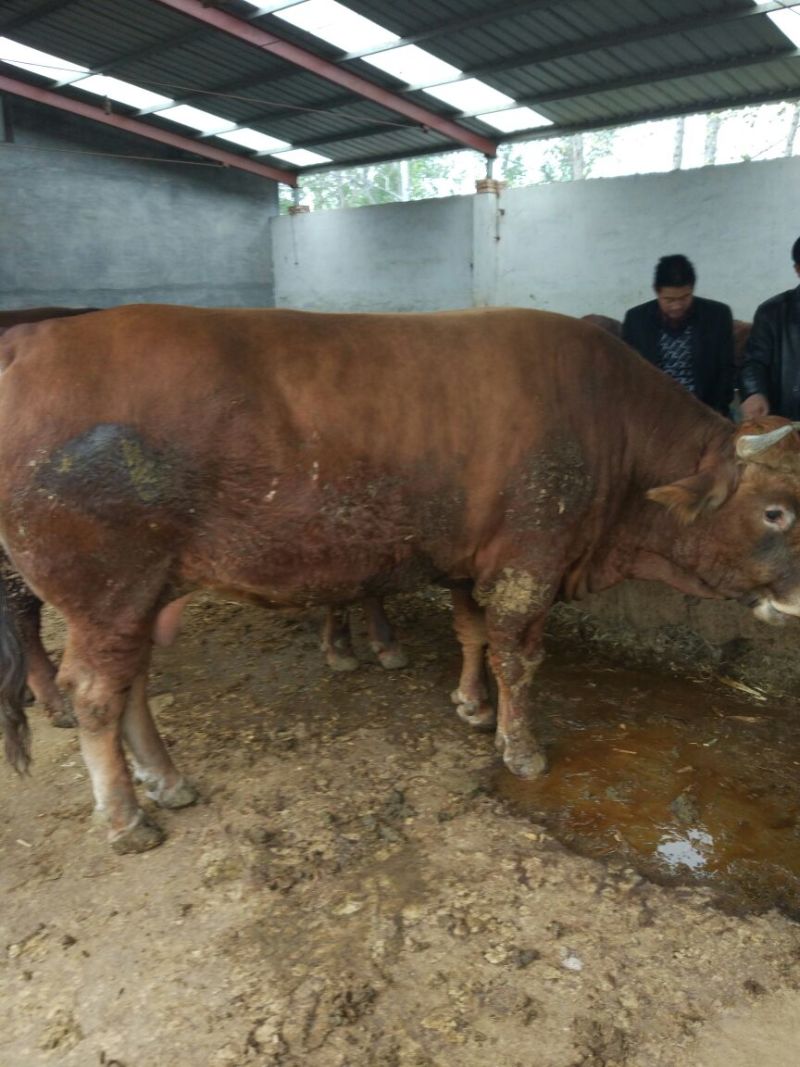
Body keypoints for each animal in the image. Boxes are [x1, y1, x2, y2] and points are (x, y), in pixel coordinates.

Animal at [1, 305, 800, 853]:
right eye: (777, 510)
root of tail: (34, 342)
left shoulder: (473, 561)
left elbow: (472, 633)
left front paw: (471, 704)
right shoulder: (529, 564)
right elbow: (518, 655)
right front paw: (520, 746)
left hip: (136, 596)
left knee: (132, 685)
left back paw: (166, 781)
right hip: (106, 592)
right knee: (96, 694)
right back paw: (126, 817)